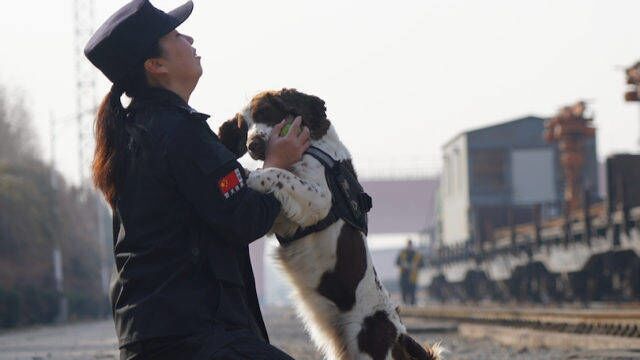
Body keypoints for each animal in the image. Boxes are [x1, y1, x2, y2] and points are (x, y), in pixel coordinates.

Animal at [218, 89, 442, 360]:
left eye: (265, 112)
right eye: (243, 127)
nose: (253, 145)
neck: (314, 145)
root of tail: (399, 335)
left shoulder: (320, 200)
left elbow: (277, 174)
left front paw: (250, 175)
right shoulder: (284, 218)